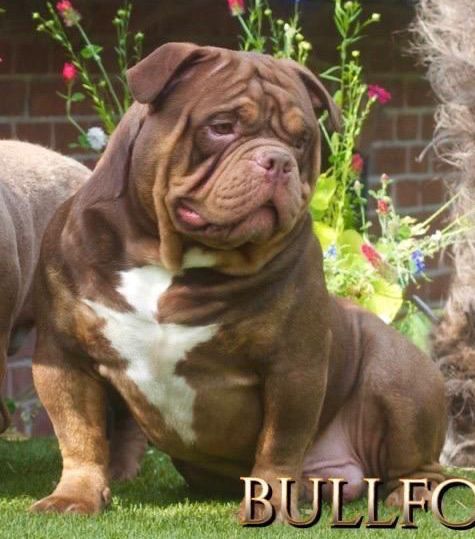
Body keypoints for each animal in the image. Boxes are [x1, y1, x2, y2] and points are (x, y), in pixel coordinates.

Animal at [30, 43, 447, 518]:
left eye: (301, 140)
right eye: (222, 127)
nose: (279, 159)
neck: (169, 256)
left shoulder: (294, 366)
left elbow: (280, 443)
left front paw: (270, 503)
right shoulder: (63, 355)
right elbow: (79, 435)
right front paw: (74, 495)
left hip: (399, 380)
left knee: (419, 463)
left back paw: (412, 493)